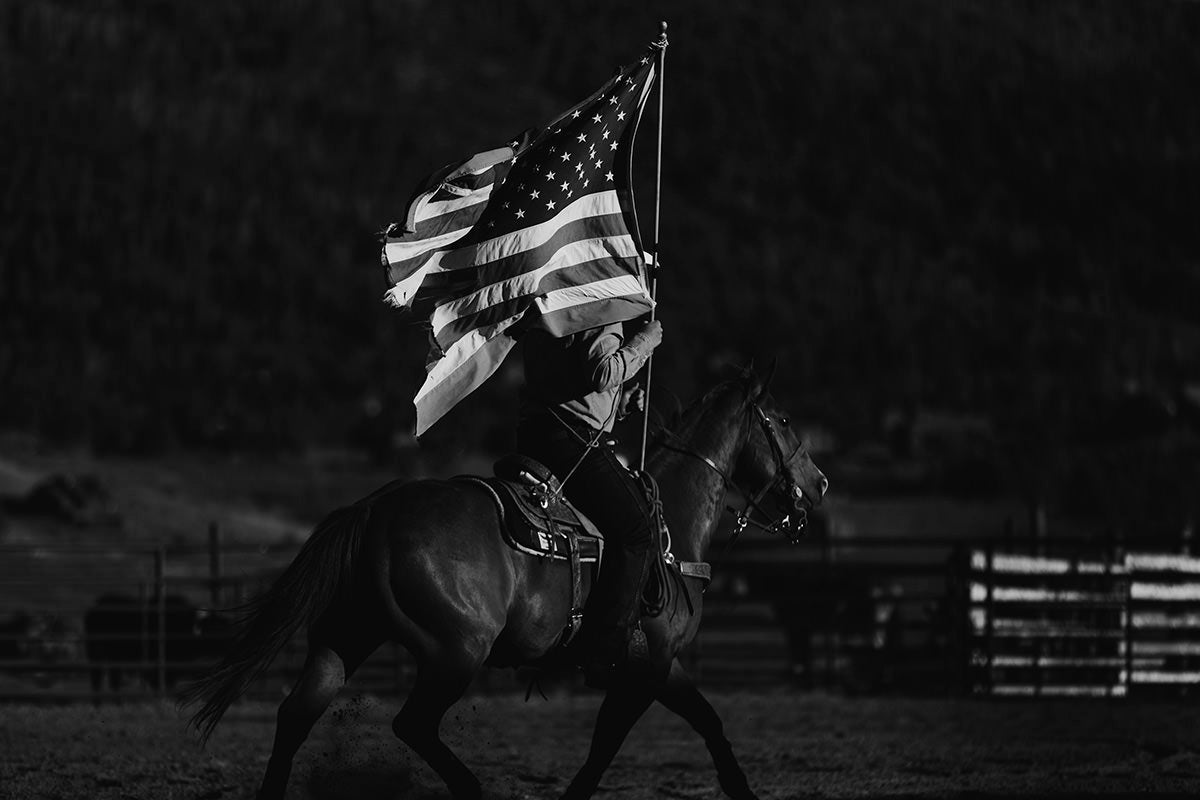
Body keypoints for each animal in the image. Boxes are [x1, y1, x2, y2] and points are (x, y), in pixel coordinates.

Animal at [180, 364, 828, 800]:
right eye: (783, 420)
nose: (818, 485)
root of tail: (379, 508)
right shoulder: (644, 666)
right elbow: (605, 747)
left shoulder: (662, 666)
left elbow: (708, 723)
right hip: (455, 650)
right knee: (412, 724)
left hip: (347, 635)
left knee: (296, 714)